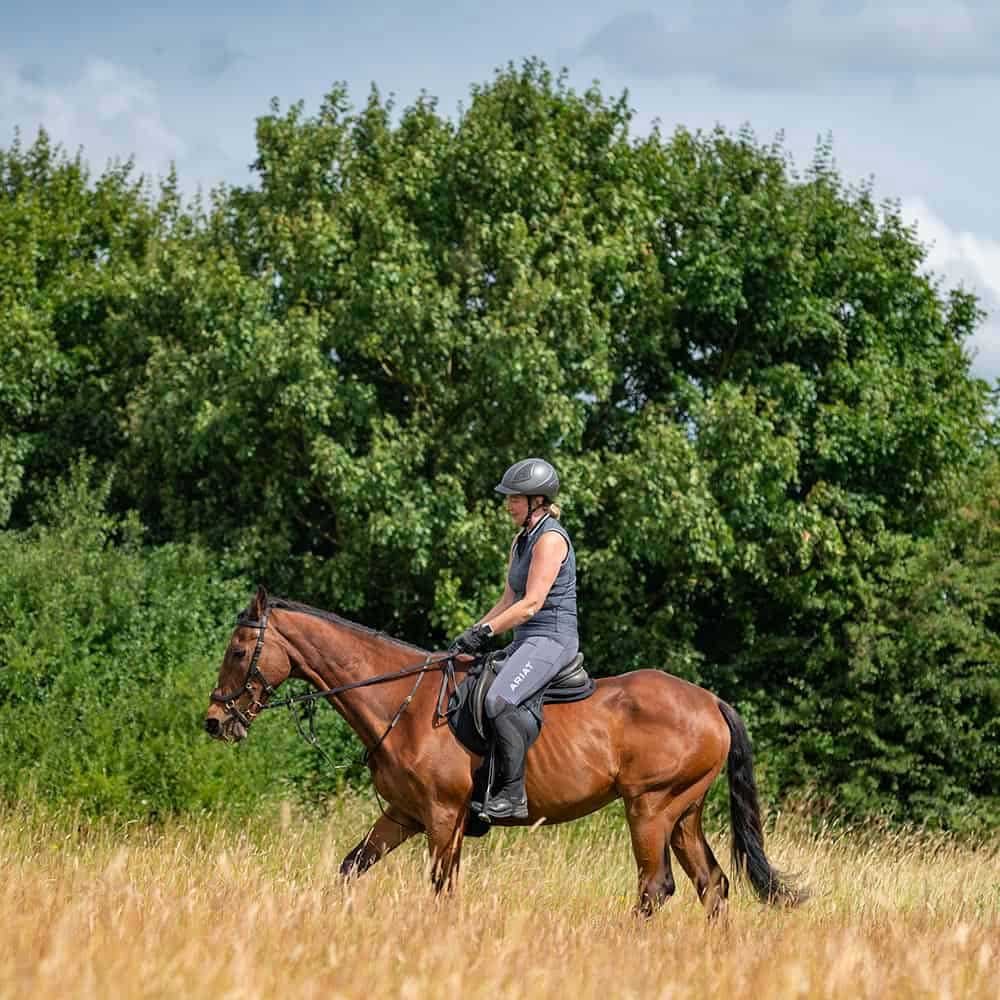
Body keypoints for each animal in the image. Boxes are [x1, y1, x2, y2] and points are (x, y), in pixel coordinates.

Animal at [204, 586, 806, 918]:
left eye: (237, 650)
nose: (214, 722)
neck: (402, 701)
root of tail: (710, 701)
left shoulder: (442, 817)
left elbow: (441, 887)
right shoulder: (403, 815)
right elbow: (352, 868)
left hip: (651, 808)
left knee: (657, 888)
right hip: (683, 814)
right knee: (714, 886)